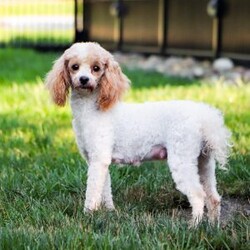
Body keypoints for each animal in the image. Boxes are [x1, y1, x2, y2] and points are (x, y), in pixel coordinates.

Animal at [45, 42, 230, 226]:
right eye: (74, 67)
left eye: (96, 68)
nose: (84, 79)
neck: (92, 108)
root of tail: (205, 117)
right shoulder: (99, 160)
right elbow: (105, 189)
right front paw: (109, 211)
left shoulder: (98, 159)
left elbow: (92, 191)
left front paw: (88, 215)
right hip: (203, 162)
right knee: (213, 197)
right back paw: (212, 226)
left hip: (182, 159)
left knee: (198, 195)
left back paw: (194, 225)